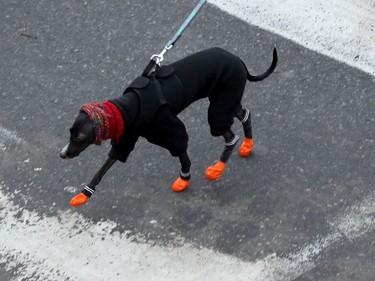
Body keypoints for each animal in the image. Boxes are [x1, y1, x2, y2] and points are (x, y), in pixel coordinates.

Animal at [61, 47, 280, 206]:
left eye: (80, 137)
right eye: (69, 133)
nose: (62, 155)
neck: (129, 108)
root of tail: (238, 60)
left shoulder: (172, 130)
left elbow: (183, 155)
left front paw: (184, 179)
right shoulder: (126, 138)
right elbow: (104, 168)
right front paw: (84, 194)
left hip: (220, 106)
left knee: (230, 136)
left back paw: (218, 167)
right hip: (225, 99)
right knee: (244, 114)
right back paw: (247, 145)